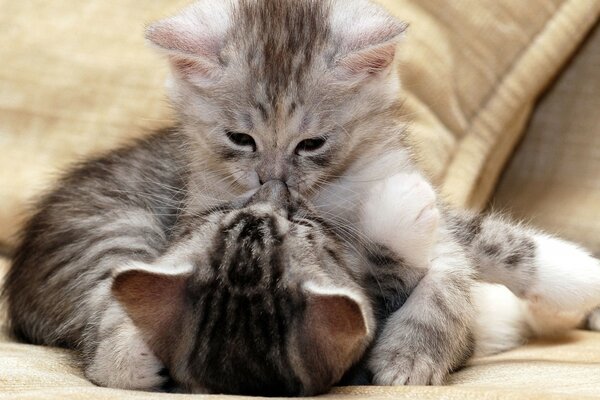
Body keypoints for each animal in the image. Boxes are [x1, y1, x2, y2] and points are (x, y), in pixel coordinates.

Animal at [4, 0, 600, 394]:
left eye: (312, 144)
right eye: (240, 139)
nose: (273, 185)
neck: (332, 192)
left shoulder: (427, 205)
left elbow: (477, 254)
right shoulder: (202, 211)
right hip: (112, 228)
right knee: (106, 312)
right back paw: (129, 357)